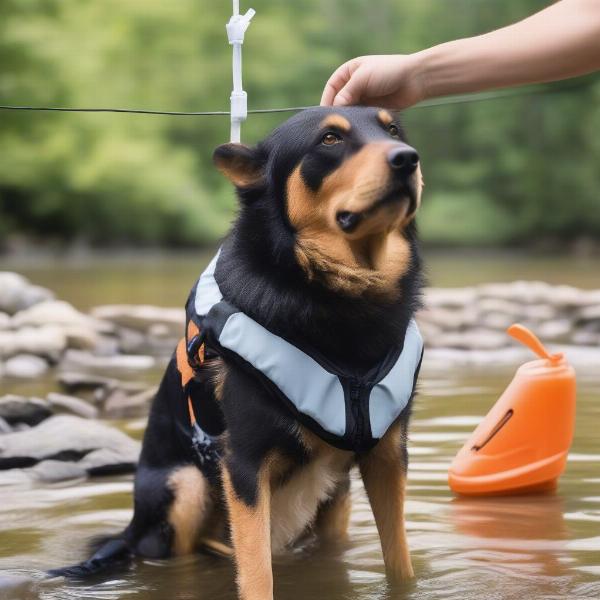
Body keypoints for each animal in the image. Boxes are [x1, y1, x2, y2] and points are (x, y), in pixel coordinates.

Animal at [52, 108, 426, 600]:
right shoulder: (245, 466)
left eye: (393, 130)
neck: (345, 297)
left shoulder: (387, 456)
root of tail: (130, 530)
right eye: (329, 139)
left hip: (335, 503)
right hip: (186, 488)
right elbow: (257, 575)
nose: (408, 158)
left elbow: (400, 565)